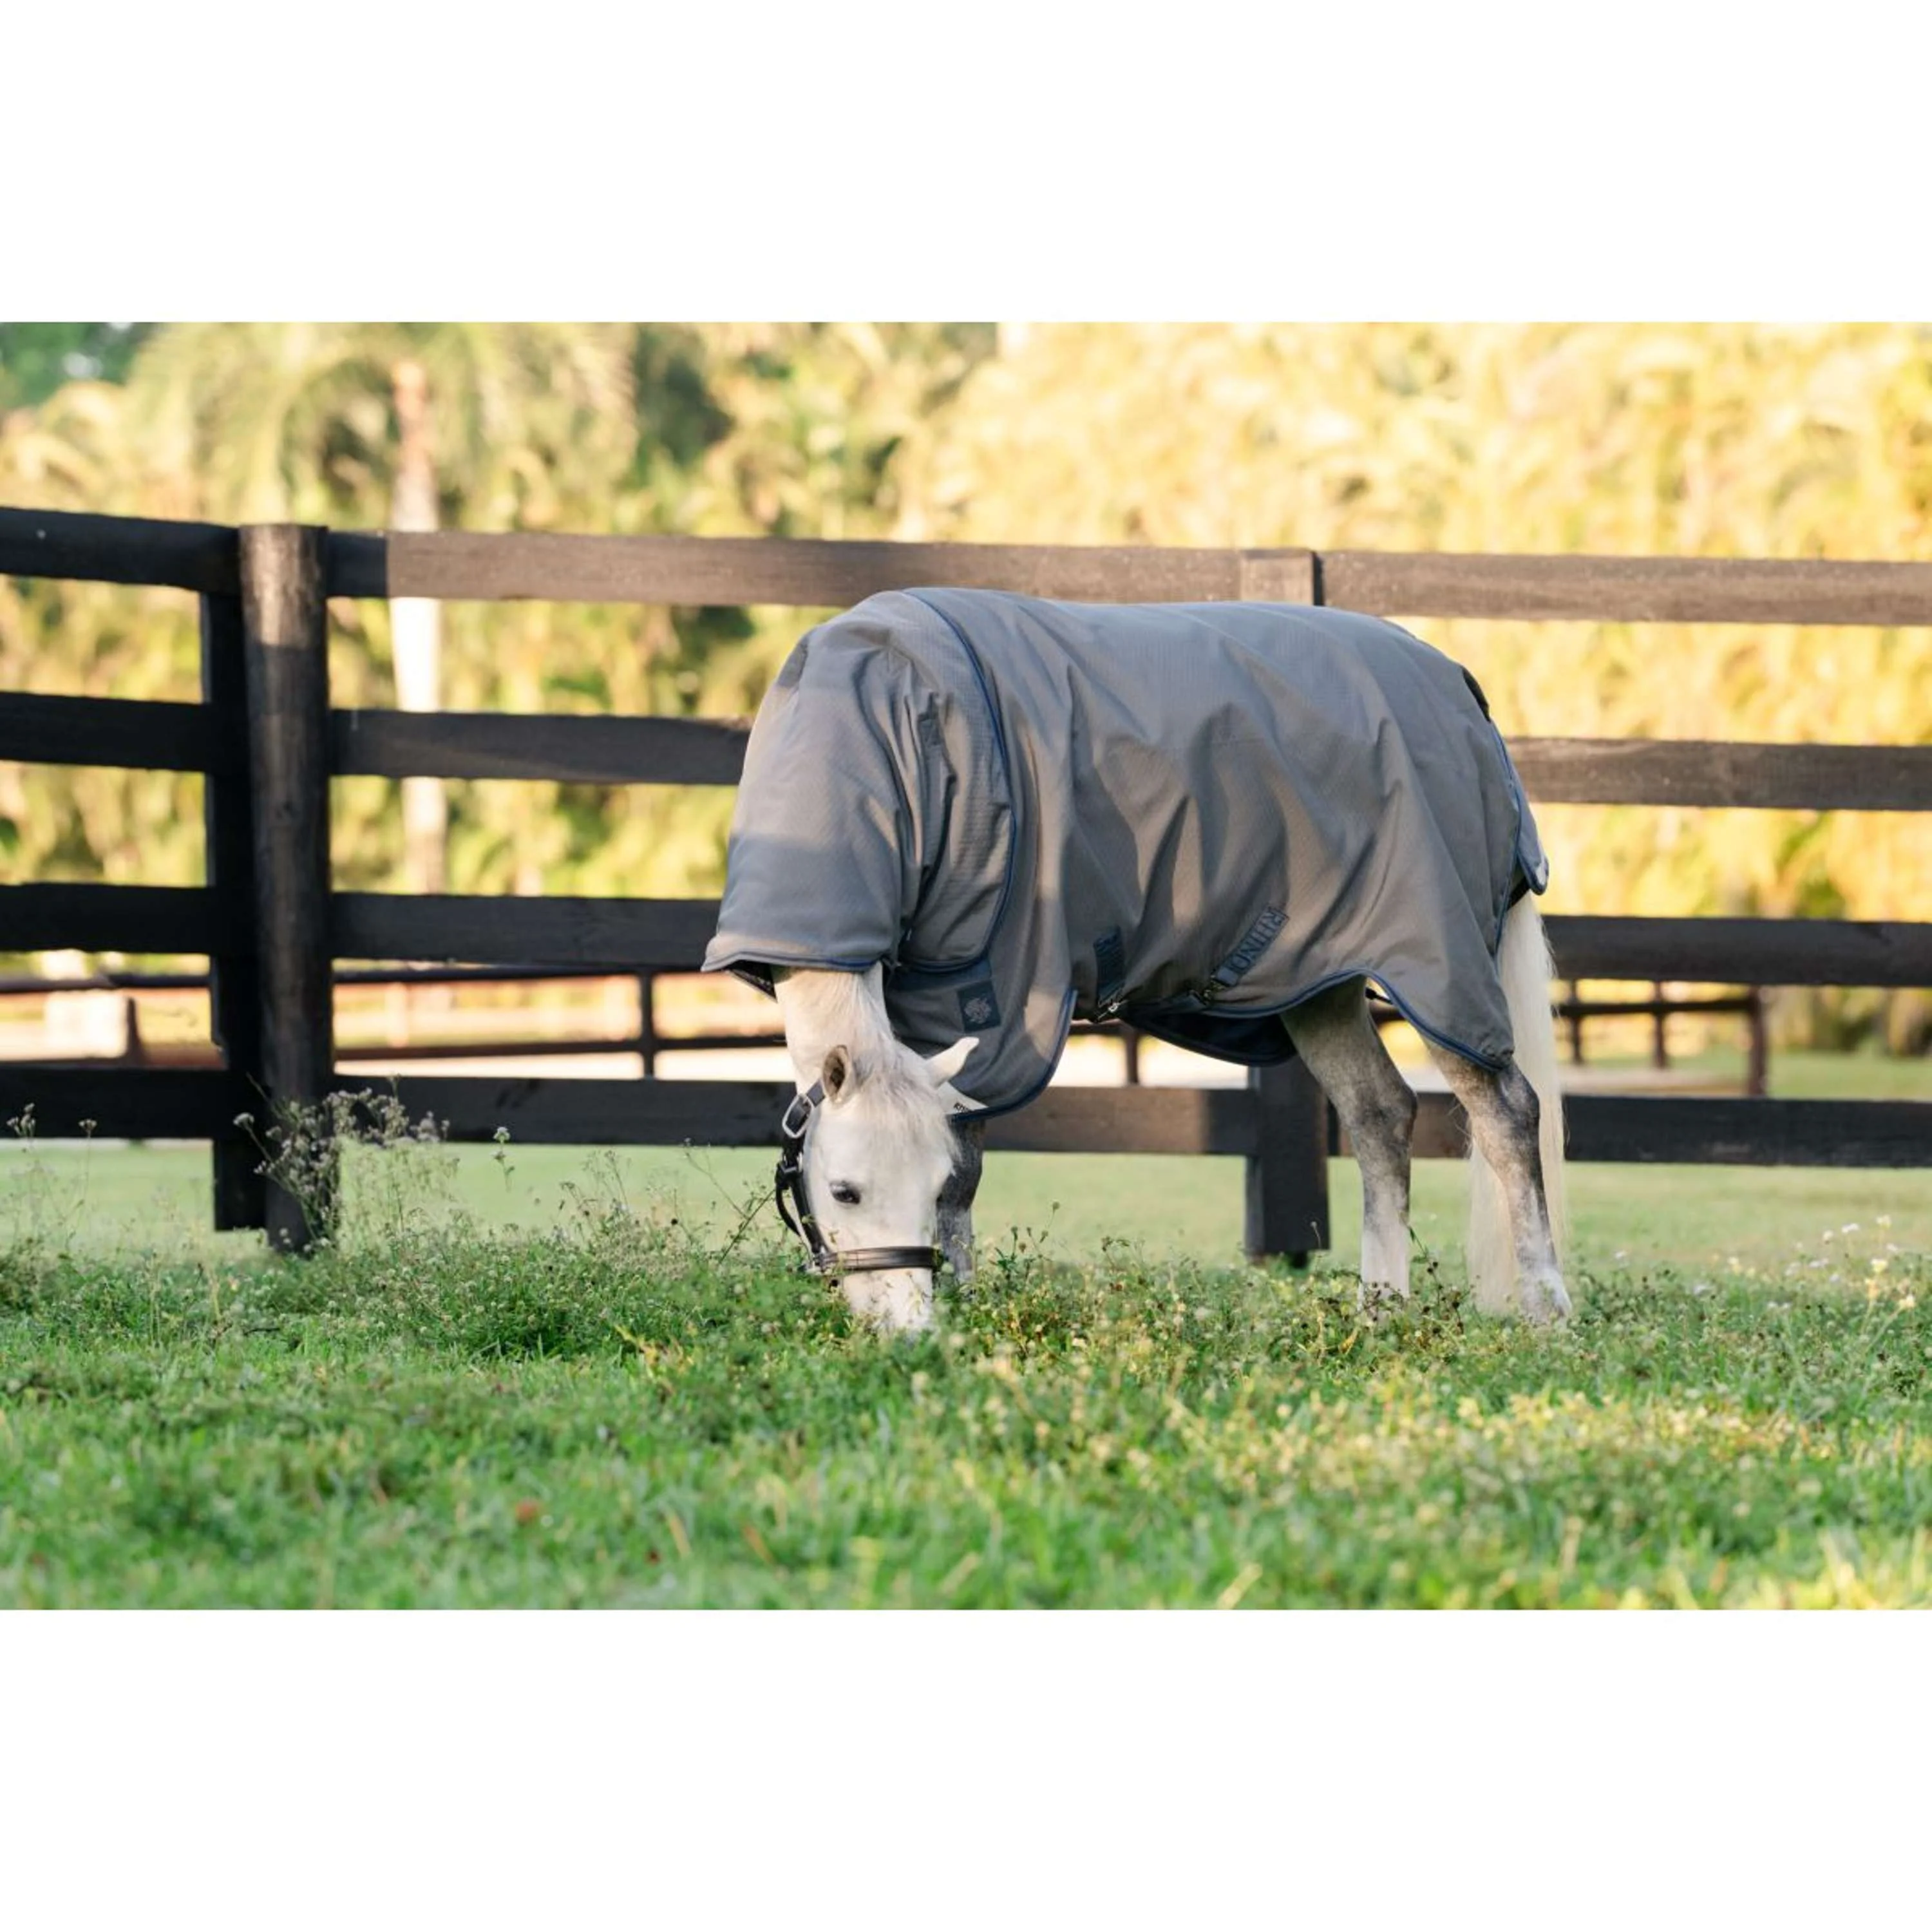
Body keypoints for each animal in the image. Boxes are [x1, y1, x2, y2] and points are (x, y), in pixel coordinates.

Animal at [705, 588, 1569, 1335]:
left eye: (912, 1184)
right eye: (844, 1191)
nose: (908, 1331)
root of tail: (1459, 688)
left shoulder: (989, 987)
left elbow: (969, 1165)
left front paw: (971, 1304)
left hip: (1438, 961)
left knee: (1507, 1112)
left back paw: (1545, 1310)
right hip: (1320, 977)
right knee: (1379, 1115)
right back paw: (1380, 1310)